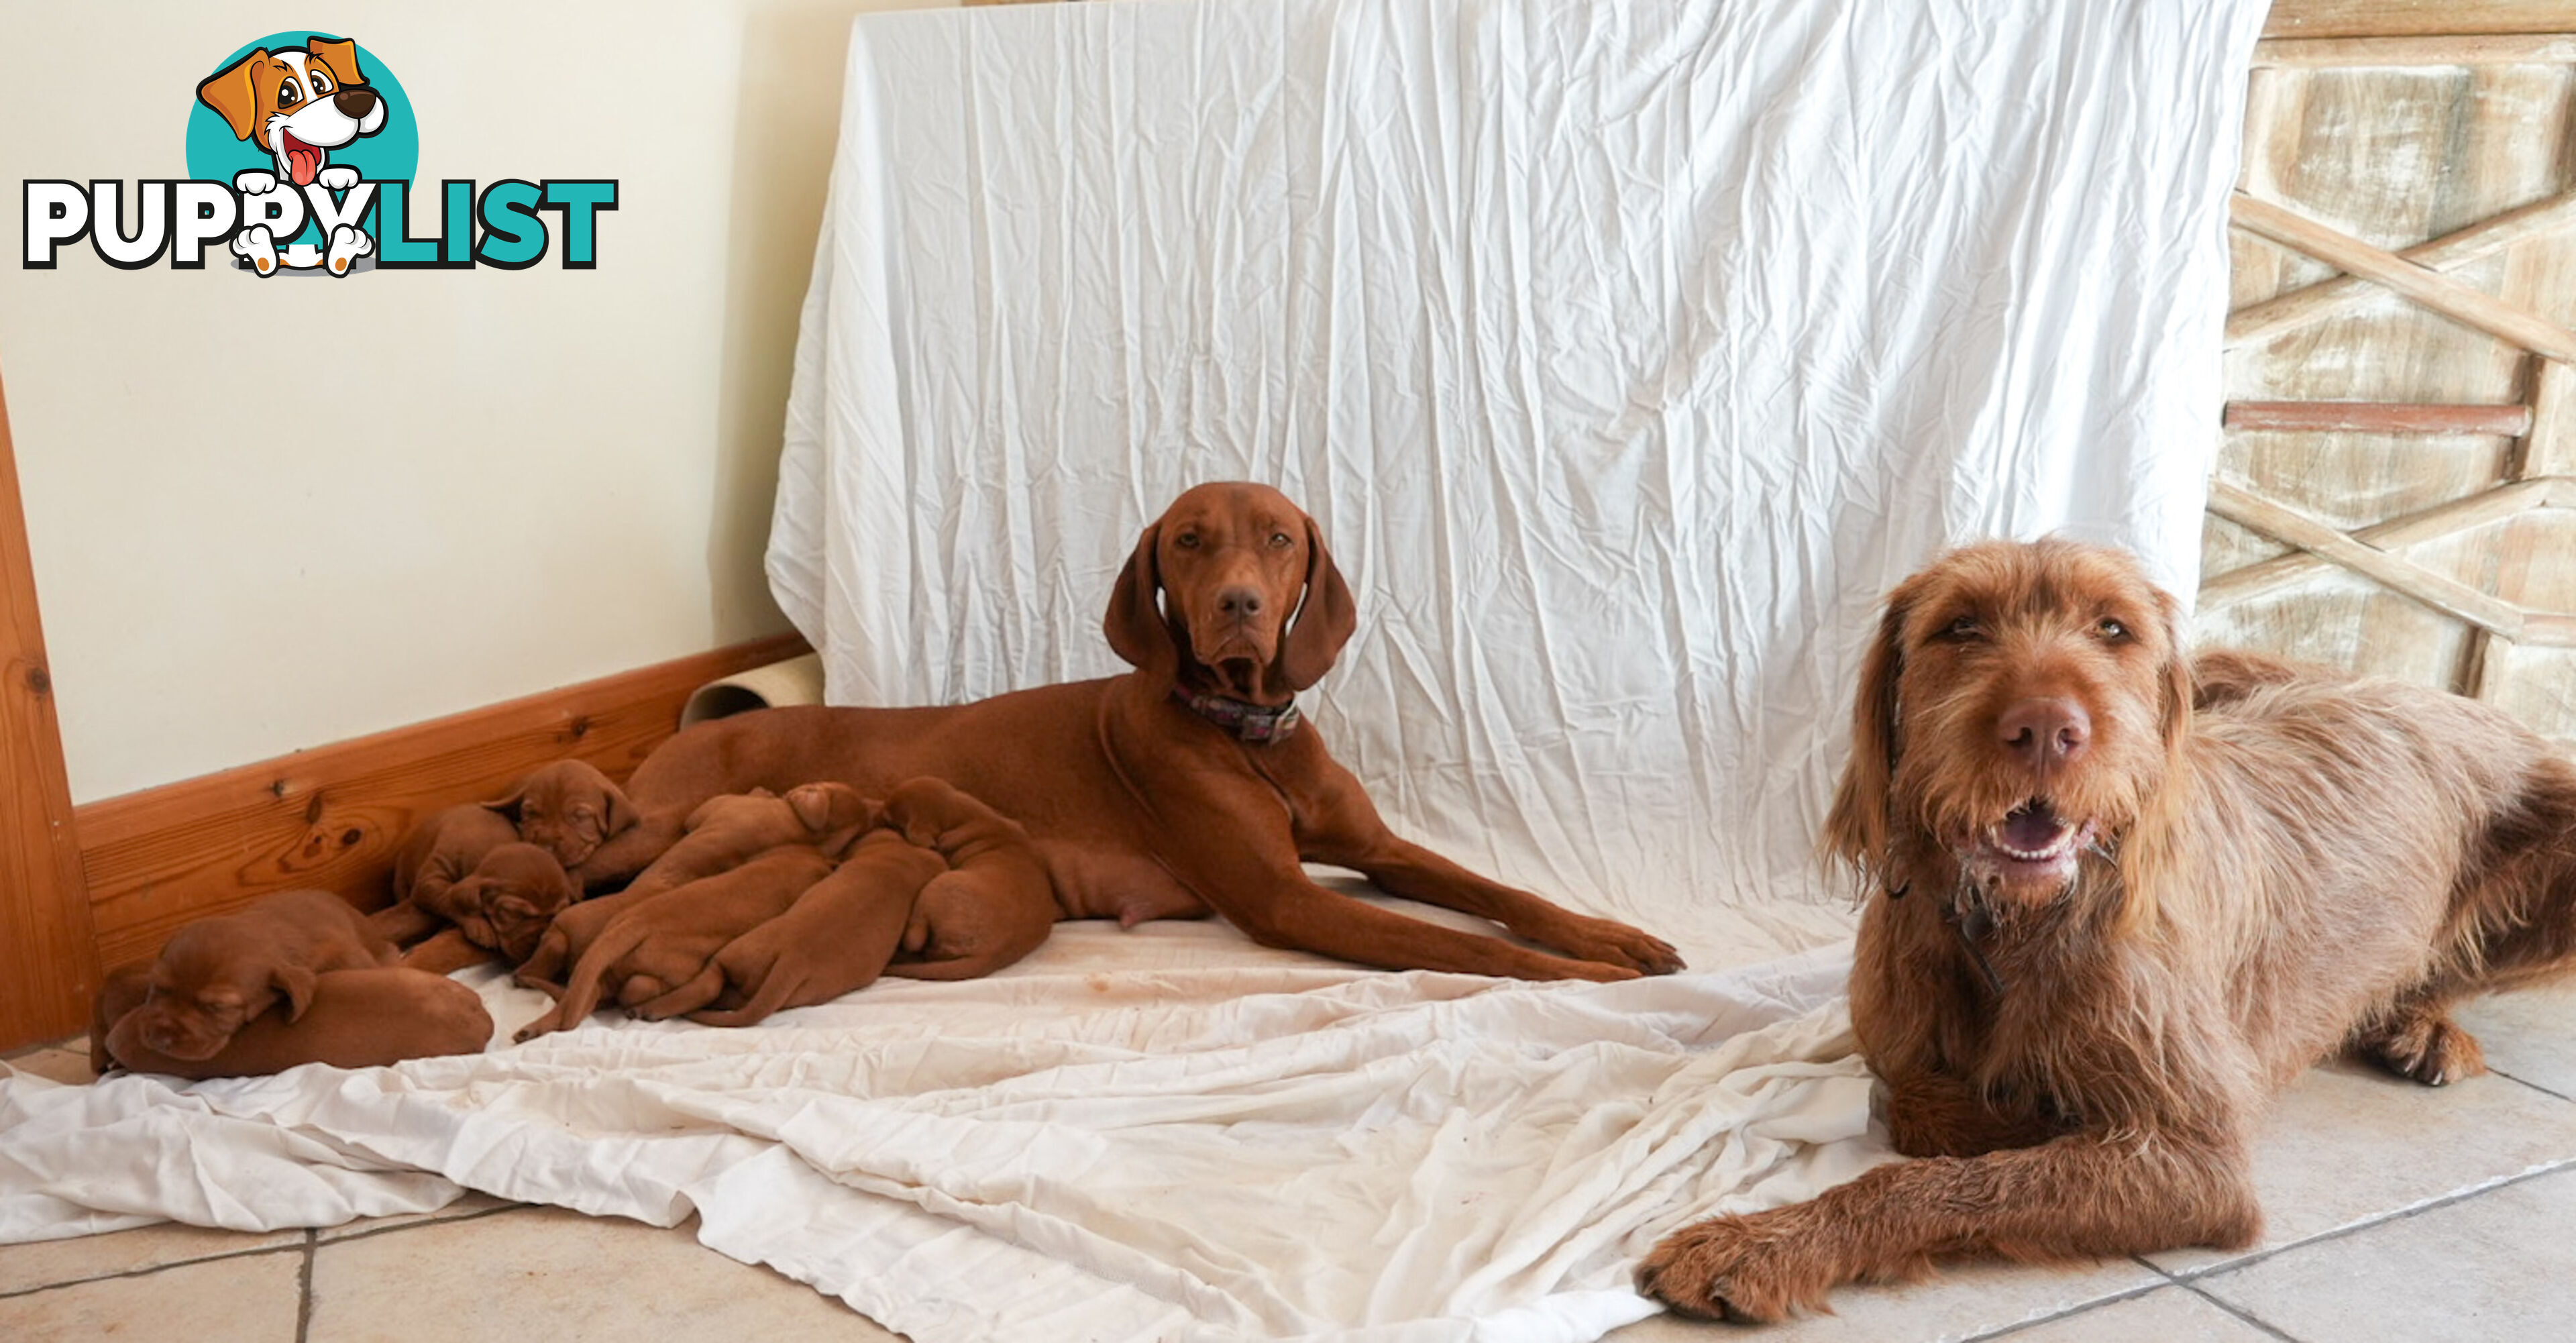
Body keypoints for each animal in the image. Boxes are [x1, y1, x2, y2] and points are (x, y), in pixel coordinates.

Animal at [517, 845, 839, 1041]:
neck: (790, 863)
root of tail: (634, 924)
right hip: (681, 967)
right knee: (660, 990)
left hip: (605, 965)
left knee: (586, 996)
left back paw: (533, 1029)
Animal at [574, 479, 1679, 974]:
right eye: (1189, 541)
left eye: (1278, 538)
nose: (1238, 603)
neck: (1246, 729)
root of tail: (689, 728)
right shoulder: (1286, 900)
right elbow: (1471, 947)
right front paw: (1585, 976)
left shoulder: (1376, 848)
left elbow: (1499, 895)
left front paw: (1614, 933)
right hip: (652, 830)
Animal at [1638, 533, 2576, 1320]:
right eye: (1960, 626)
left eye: (2114, 628)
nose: (2048, 727)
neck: (2010, 927)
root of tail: (2434, 689)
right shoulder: (1905, 1053)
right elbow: (1918, 1106)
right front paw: (2022, 1116)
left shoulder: (2202, 1162)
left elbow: (1932, 1184)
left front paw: (1763, 1243)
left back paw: (2422, 1020)